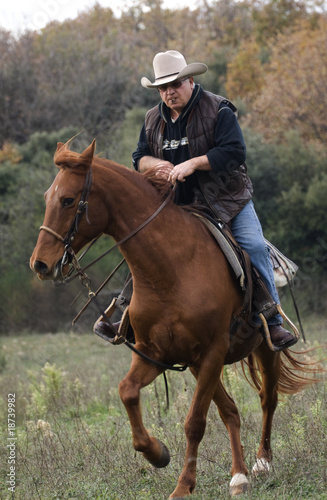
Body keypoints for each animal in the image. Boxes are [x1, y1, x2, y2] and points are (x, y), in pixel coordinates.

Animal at [30, 142, 318, 500]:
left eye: (68, 200)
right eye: (48, 197)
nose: (40, 264)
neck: (171, 268)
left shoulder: (211, 351)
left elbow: (195, 422)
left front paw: (182, 486)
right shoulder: (157, 354)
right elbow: (127, 391)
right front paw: (157, 454)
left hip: (262, 350)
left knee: (268, 398)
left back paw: (262, 462)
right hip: (198, 365)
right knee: (230, 410)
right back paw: (238, 475)